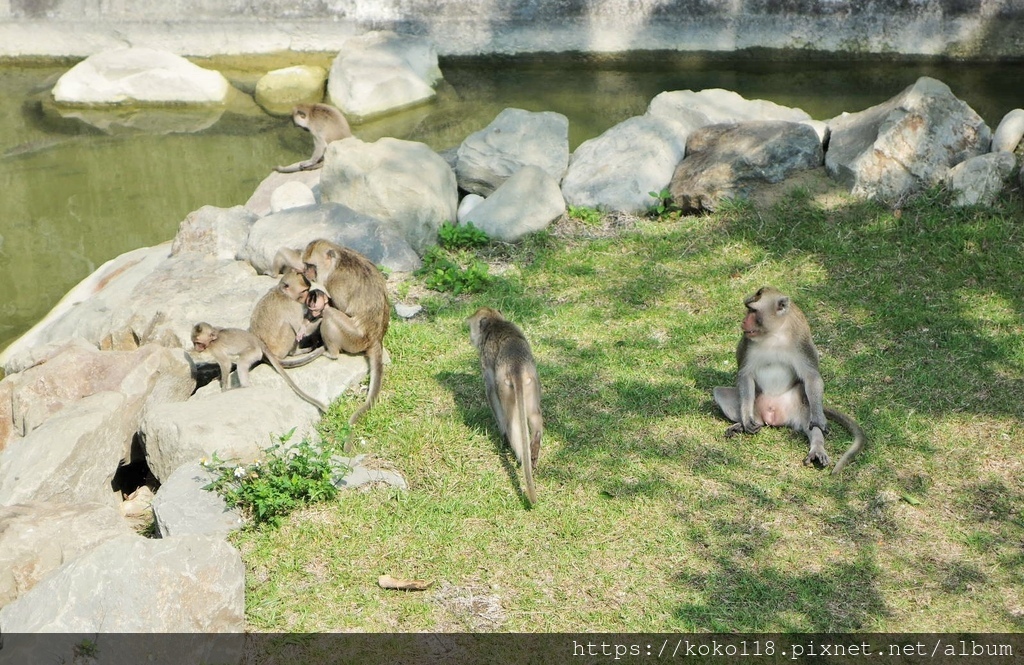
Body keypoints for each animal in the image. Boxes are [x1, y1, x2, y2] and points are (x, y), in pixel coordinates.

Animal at [187, 319, 323, 409]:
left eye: (198, 343)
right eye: (194, 342)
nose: (196, 348)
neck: (212, 339)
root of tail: (258, 341)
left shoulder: (215, 349)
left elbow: (226, 363)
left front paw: (224, 387)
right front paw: (219, 378)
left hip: (253, 352)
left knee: (242, 363)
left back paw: (243, 386)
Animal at [276, 238, 391, 426]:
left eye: (311, 265)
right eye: (306, 265)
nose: (306, 273)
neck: (339, 259)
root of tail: (376, 337)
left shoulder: (335, 282)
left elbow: (339, 308)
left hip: (354, 338)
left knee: (330, 314)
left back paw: (331, 353)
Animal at [466, 305, 544, 504]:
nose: (472, 337)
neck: (496, 322)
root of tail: (516, 366)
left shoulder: (486, 360)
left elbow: (490, 392)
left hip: (506, 386)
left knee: (511, 423)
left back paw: (517, 452)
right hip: (532, 382)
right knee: (534, 415)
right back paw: (533, 449)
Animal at [712, 284, 864, 471]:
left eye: (753, 311)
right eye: (748, 309)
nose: (743, 321)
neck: (774, 333)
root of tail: (774, 418)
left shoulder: (801, 339)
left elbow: (811, 376)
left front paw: (819, 418)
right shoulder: (748, 342)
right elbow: (744, 375)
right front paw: (746, 420)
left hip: (798, 407)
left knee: (809, 417)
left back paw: (817, 447)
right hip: (758, 407)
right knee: (721, 393)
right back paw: (743, 424)